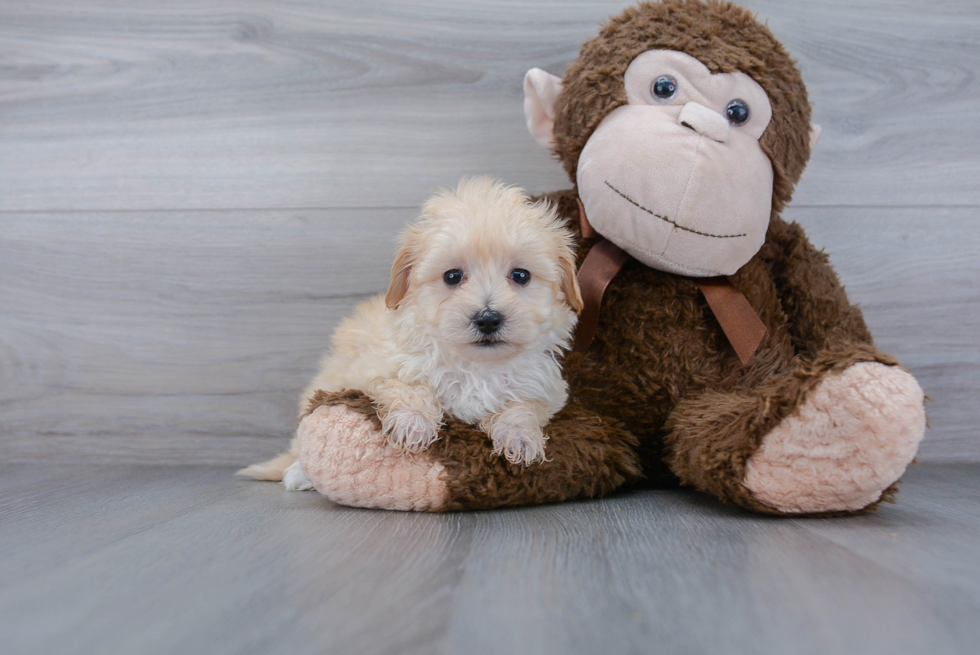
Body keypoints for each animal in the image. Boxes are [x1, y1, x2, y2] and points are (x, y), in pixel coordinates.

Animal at [239, 177, 580, 490]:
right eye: (452, 276)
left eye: (520, 275)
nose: (487, 319)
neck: (475, 366)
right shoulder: (376, 368)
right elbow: (409, 386)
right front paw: (412, 424)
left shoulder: (544, 389)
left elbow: (523, 406)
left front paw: (520, 436)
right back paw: (297, 474)